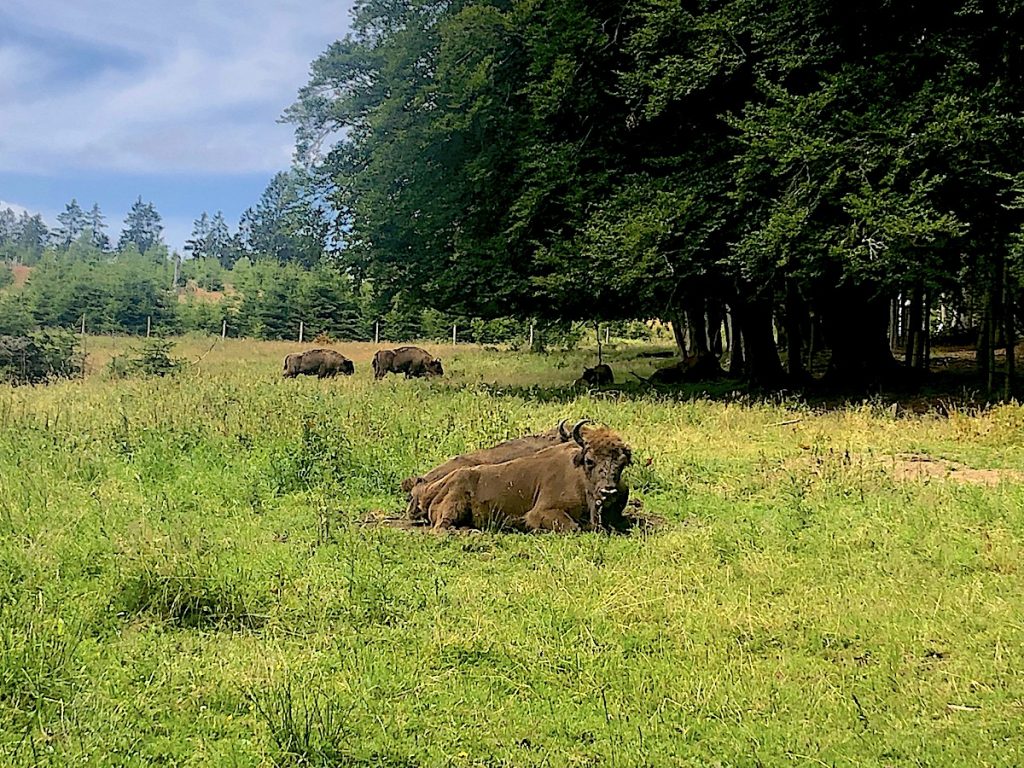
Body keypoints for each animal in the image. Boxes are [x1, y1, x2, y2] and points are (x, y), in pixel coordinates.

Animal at [409, 421, 630, 536]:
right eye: (590, 460)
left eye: (622, 463)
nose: (609, 491)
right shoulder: (542, 511)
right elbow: (572, 527)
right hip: (454, 504)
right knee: (441, 528)